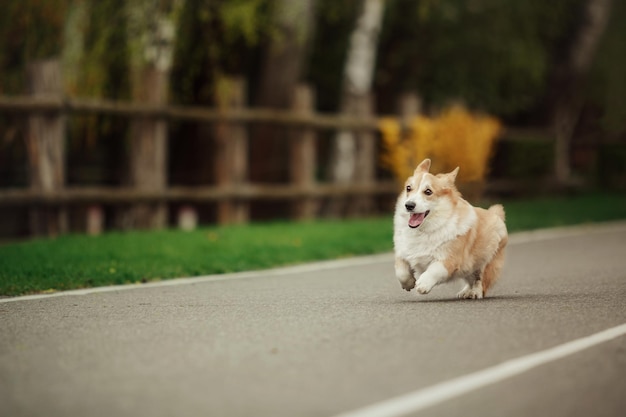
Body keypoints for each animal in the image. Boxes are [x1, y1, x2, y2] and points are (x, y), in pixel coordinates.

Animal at [394, 158, 508, 298]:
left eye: (428, 192)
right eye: (408, 188)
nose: (409, 205)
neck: (424, 230)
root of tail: (495, 214)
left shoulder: (449, 260)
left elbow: (435, 269)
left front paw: (423, 284)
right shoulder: (403, 253)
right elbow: (401, 271)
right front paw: (408, 283)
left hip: (487, 261)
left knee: (480, 280)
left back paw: (475, 293)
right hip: (467, 268)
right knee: (470, 279)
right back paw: (465, 292)